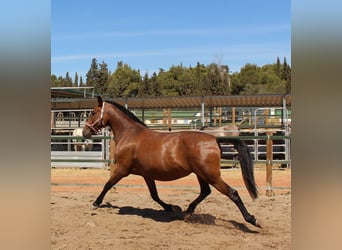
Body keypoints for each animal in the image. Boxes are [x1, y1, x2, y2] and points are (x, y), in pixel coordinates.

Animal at [84, 96, 260, 229]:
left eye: (92, 112)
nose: (85, 132)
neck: (130, 134)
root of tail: (215, 139)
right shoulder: (147, 175)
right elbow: (154, 195)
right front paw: (171, 207)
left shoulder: (122, 169)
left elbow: (107, 184)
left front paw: (96, 202)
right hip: (201, 174)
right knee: (205, 191)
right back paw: (187, 211)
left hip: (211, 175)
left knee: (233, 193)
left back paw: (252, 219)